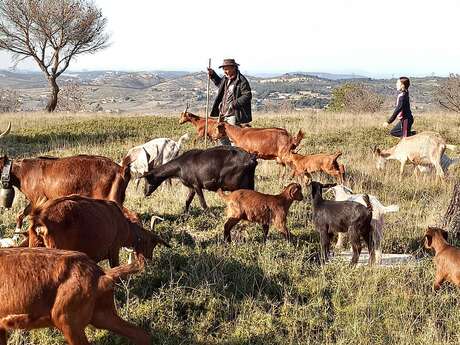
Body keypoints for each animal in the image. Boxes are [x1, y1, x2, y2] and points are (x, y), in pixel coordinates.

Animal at [0, 154, 132, 232]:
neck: (22, 171)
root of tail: (120, 169)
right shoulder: (35, 200)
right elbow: (20, 214)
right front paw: (16, 234)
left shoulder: (39, 198)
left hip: (111, 198)